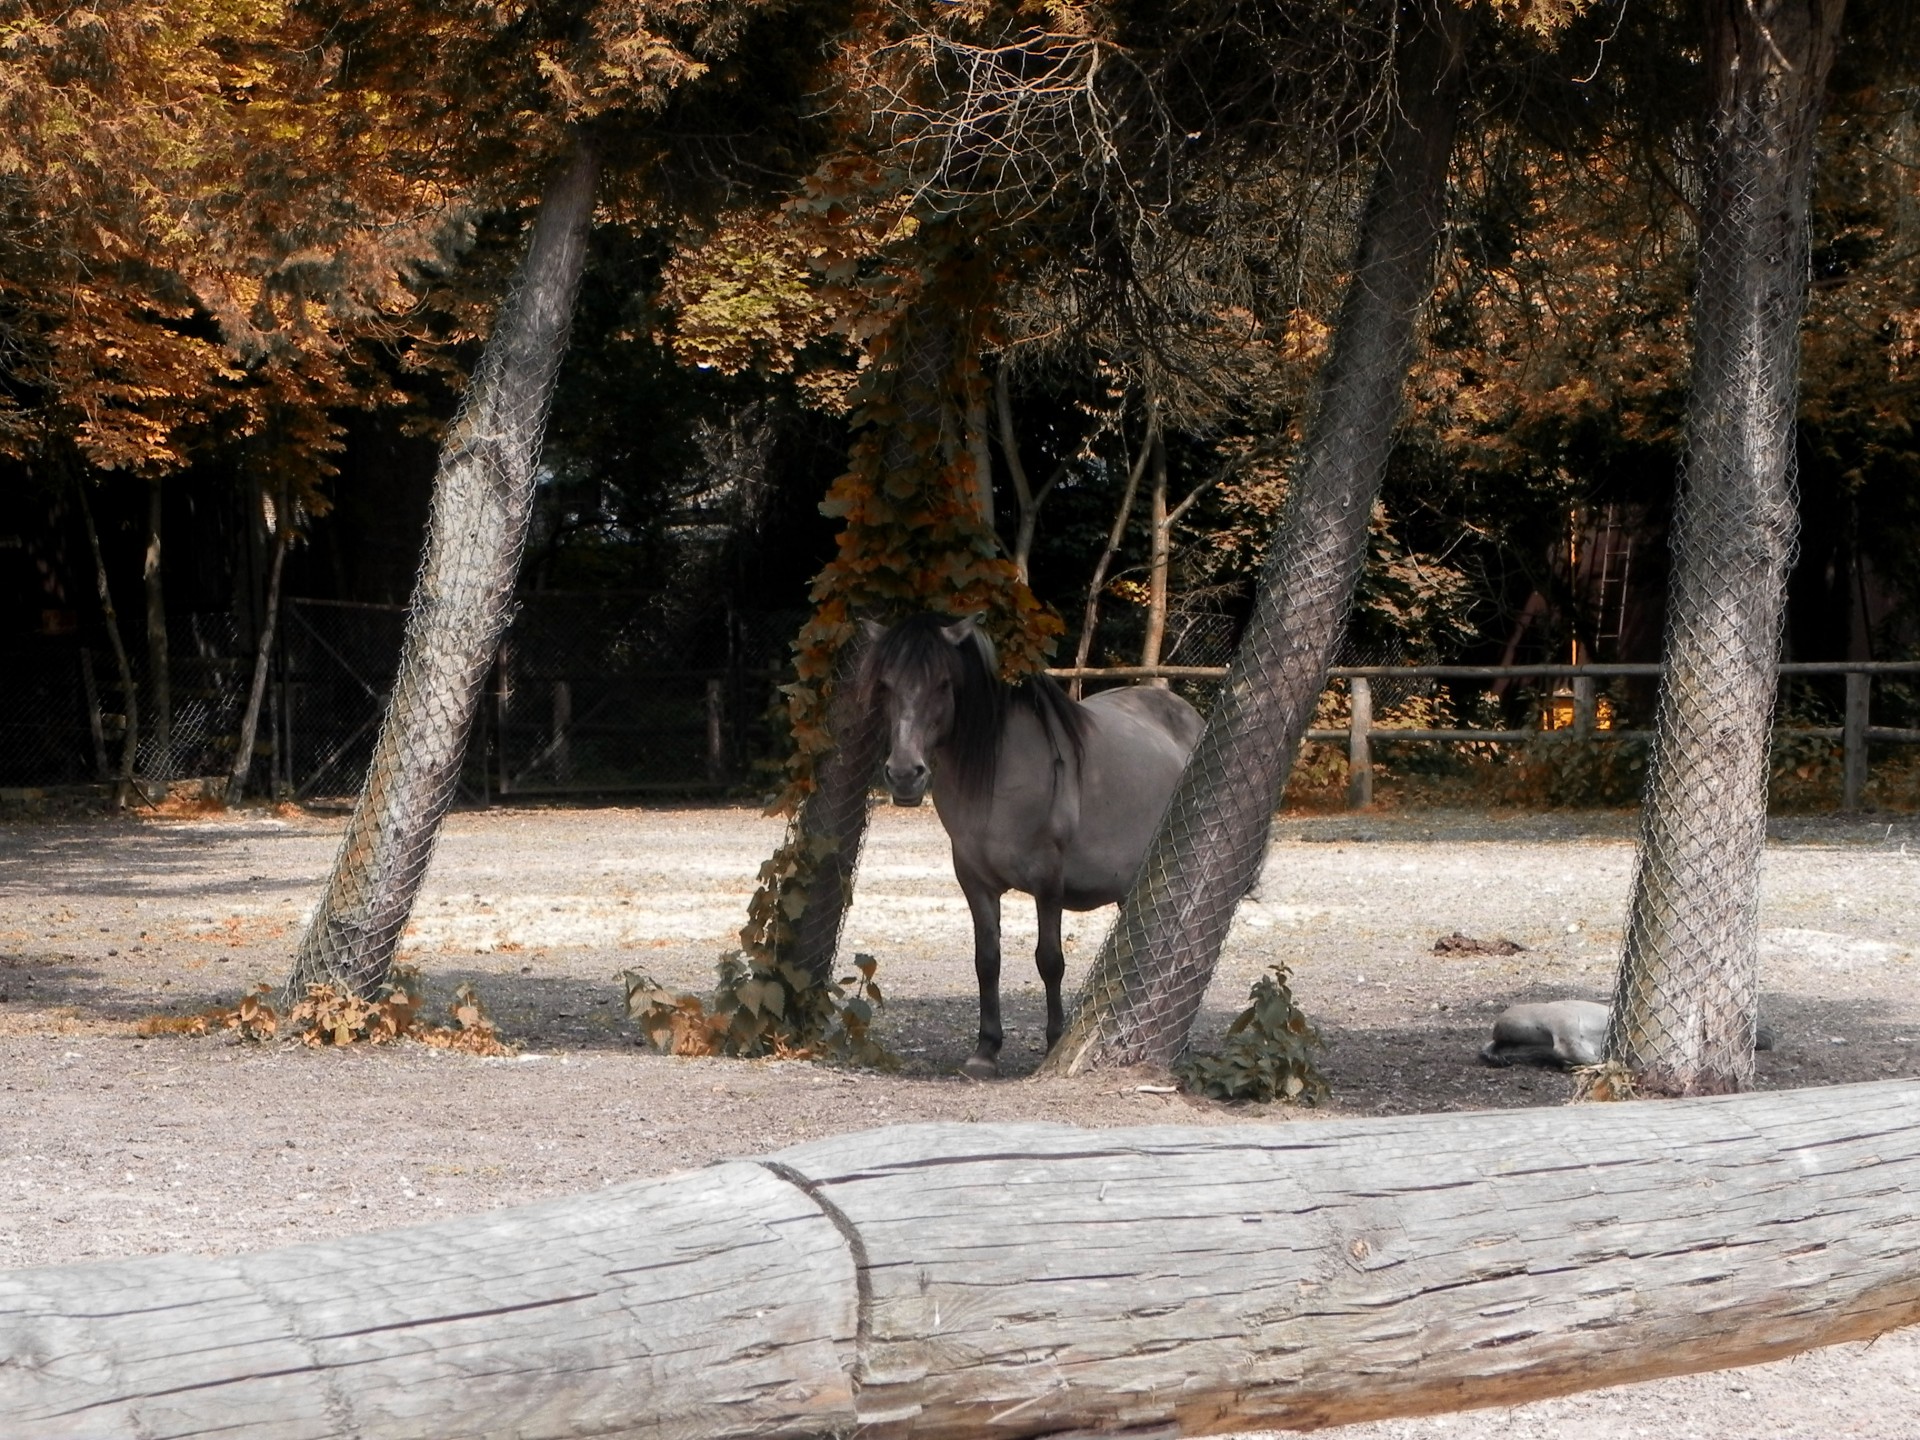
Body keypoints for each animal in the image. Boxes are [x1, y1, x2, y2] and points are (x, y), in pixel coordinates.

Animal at [860, 614, 1198, 1075]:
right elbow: (987, 959)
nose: (904, 775)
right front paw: (986, 1048)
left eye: (944, 684)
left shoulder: (1048, 880)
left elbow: (1049, 961)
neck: (1001, 771)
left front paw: (1054, 1040)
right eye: (886, 684)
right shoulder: (974, 880)